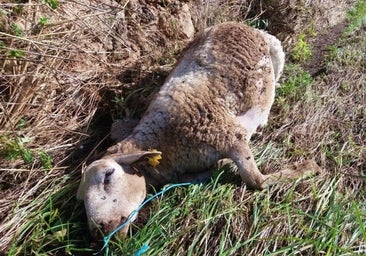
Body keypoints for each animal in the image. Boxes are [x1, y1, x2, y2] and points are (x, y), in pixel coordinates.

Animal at [76, 22, 320, 240]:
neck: (166, 140)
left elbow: (256, 180)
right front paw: (217, 168)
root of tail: (241, 24)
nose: (99, 232)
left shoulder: (229, 135)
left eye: (108, 175)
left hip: (277, 53)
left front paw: (308, 168)